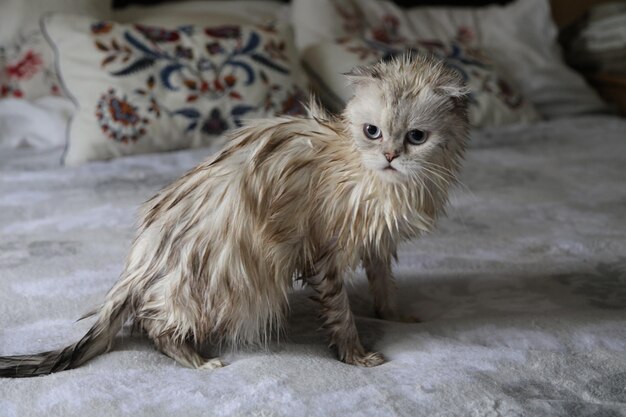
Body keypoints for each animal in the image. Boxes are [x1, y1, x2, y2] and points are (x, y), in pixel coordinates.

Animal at [0, 50, 466, 376]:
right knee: (153, 323)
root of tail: (139, 263)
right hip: (231, 279)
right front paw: (356, 355)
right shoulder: (325, 252)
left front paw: (395, 317)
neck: (386, 187)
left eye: (416, 137)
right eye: (372, 132)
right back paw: (196, 359)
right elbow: (340, 313)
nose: (389, 156)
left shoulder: (378, 242)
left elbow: (384, 285)